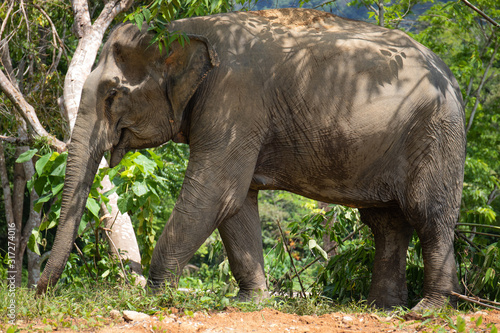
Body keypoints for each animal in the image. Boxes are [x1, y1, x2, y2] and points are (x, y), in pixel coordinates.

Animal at [37, 7, 466, 308]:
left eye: (112, 94)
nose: (40, 293)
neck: (180, 29)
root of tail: (449, 76)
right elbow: (237, 202)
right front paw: (251, 301)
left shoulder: (233, 101)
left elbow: (216, 192)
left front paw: (155, 296)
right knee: (386, 223)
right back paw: (383, 308)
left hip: (435, 133)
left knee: (427, 213)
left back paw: (426, 310)